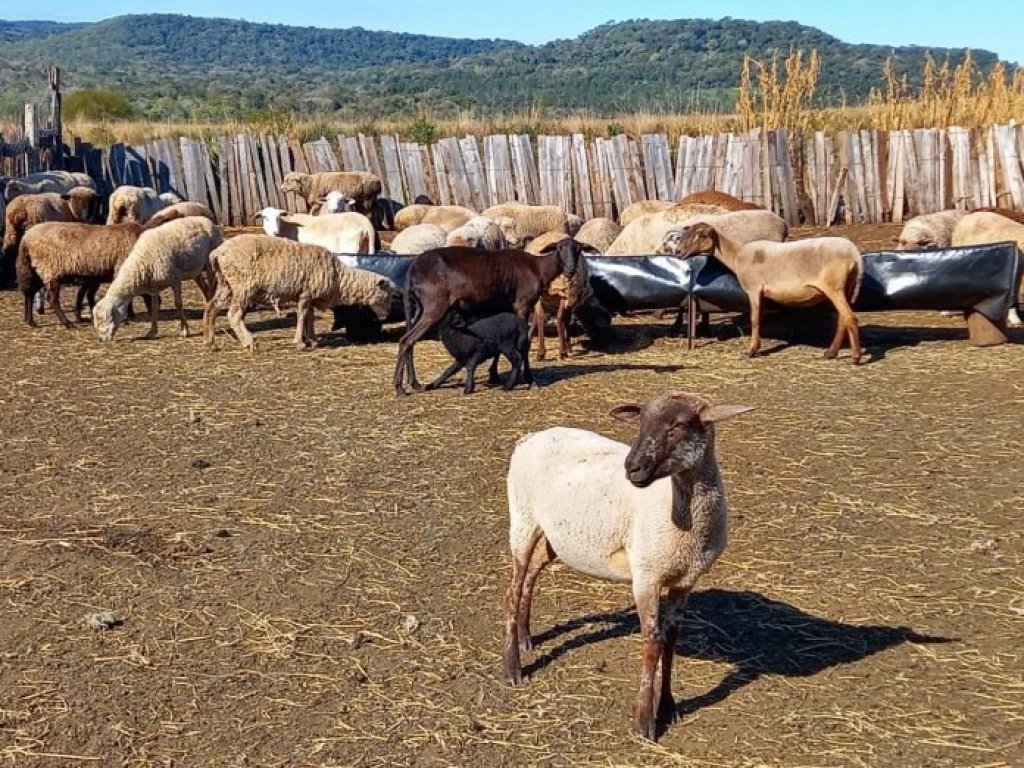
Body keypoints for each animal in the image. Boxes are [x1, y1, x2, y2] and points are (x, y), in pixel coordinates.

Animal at [201, 236, 393, 354]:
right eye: (388, 295)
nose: (385, 317)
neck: (339, 278)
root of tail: (217, 252)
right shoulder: (305, 294)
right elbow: (302, 316)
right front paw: (300, 342)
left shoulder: (310, 296)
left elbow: (310, 317)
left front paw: (313, 340)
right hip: (243, 286)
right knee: (234, 315)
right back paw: (249, 342)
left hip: (226, 284)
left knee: (211, 307)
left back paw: (210, 342)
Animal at [503, 393, 753, 741]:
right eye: (641, 422)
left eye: (678, 426)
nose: (632, 468)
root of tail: (530, 437)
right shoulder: (647, 576)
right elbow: (652, 643)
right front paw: (645, 720)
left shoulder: (685, 580)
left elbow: (670, 641)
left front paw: (668, 706)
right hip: (522, 520)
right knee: (513, 590)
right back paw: (512, 667)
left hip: (554, 535)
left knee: (531, 575)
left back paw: (526, 637)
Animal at [663, 222, 864, 364]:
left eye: (701, 235)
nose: (678, 252)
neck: (737, 255)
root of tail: (854, 253)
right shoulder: (762, 293)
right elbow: (759, 318)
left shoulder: (753, 288)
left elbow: (754, 320)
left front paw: (751, 351)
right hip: (846, 287)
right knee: (843, 319)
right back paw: (830, 353)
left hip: (834, 286)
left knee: (850, 317)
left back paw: (855, 358)